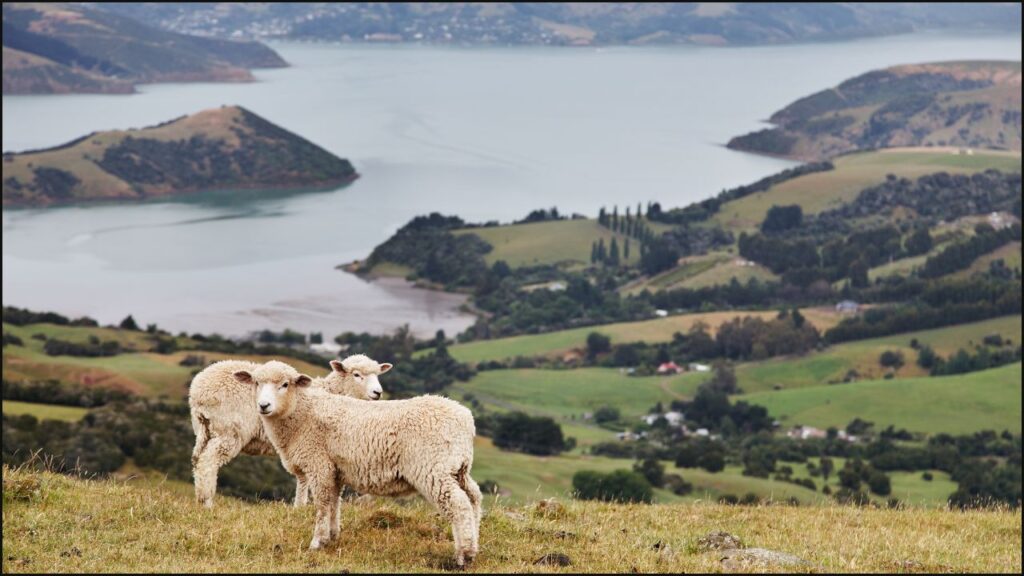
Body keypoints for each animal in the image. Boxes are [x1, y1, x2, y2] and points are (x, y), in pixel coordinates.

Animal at [186, 352, 389, 504]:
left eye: (378, 375)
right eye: (356, 374)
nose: (378, 393)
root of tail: (198, 391)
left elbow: (302, 476)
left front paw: (300, 505)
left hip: (204, 429)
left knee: (197, 461)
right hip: (229, 432)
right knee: (208, 462)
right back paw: (207, 503)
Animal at [235, 360, 479, 561]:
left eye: (285, 384)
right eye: (256, 382)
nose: (264, 406)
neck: (301, 412)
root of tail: (466, 419)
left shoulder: (318, 464)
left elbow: (322, 503)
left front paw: (316, 542)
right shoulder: (335, 469)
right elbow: (334, 501)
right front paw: (331, 536)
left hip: (434, 468)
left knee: (459, 505)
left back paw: (463, 555)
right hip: (458, 467)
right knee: (474, 498)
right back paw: (475, 545)